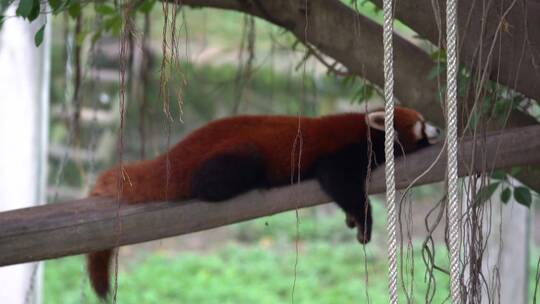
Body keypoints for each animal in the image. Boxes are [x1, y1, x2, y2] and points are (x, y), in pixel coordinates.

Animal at [87, 107, 438, 300]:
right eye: (421, 121)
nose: (438, 127)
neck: (365, 128)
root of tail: (180, 149)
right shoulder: (346, 151)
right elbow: (336, 179)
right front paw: (364, 221)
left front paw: (352, 219)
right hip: (234, 155)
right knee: (218, 178)